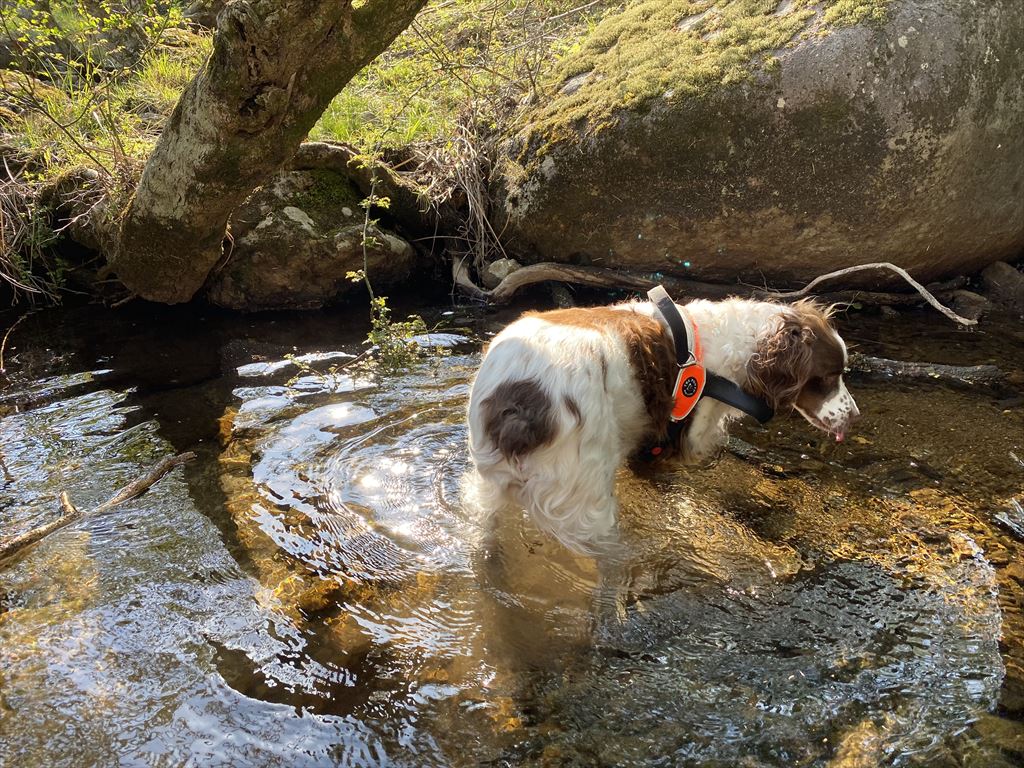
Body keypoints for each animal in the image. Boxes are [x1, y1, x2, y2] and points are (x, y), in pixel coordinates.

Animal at [468, 292, 860, 552]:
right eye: (829, 376)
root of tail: (518, 403)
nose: (855, 416)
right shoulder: (672, 446)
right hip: (584, 505)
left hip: (487, 491)